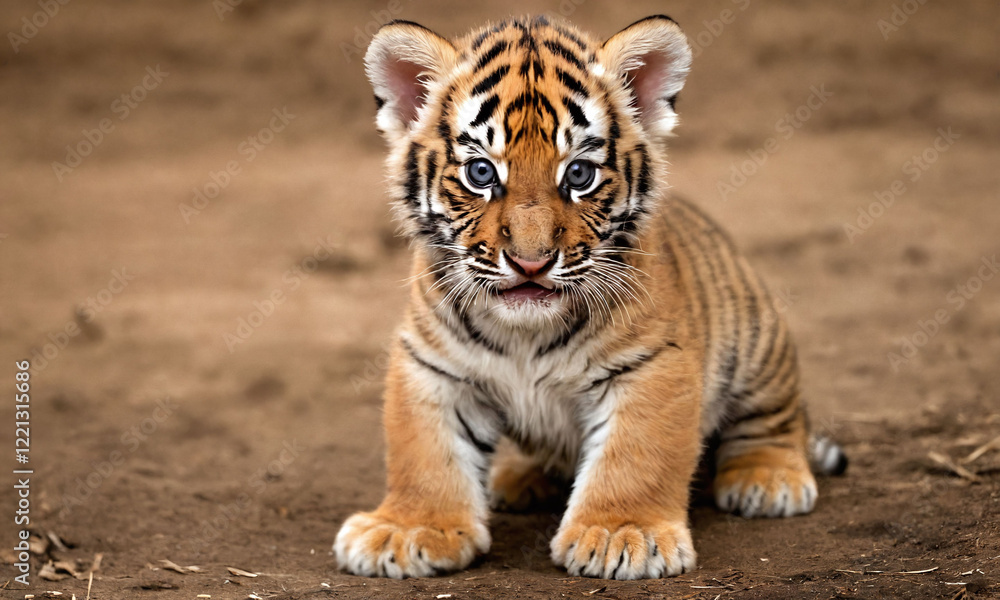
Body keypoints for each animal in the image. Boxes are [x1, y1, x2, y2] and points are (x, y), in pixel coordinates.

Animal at [334, 14, 847, 580]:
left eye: (578, 174)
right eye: (481, 173)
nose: (531, 262)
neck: (524, 334)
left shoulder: (650, 365)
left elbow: (634, 456)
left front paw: (622, 535)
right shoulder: (431, 365)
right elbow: (423, 452)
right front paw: (406, 529)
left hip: (759, 349)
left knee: (778, 421)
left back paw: (767, 479)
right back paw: (519, 477)